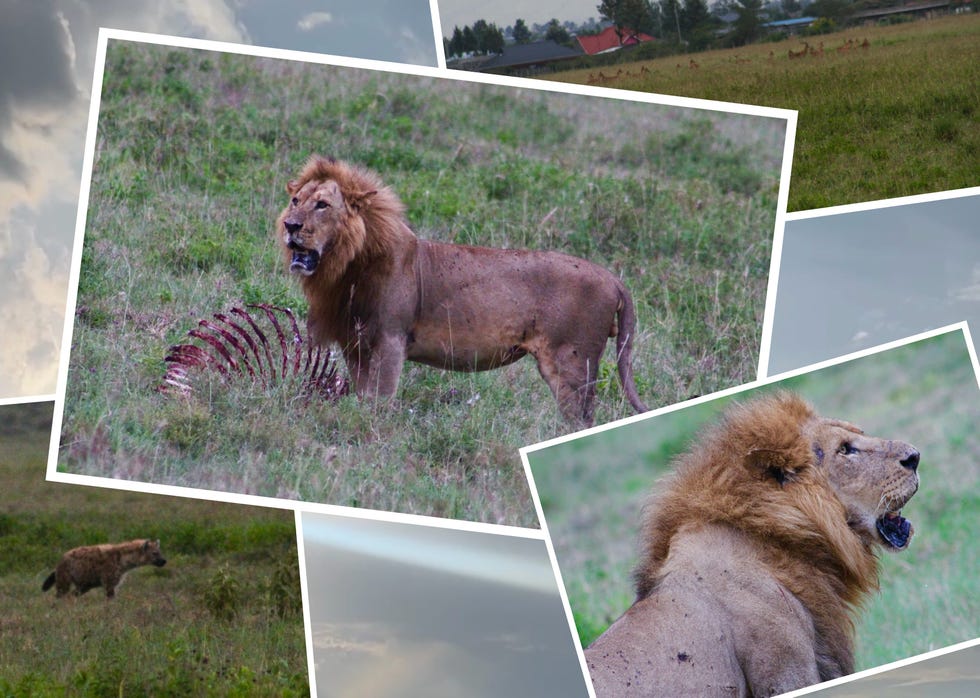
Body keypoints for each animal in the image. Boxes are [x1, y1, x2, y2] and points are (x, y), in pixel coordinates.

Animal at [275, 155, 647, 426]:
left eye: (322, 205)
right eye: (295, 200)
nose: (290, 226)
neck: (346, 266)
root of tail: (612, 278)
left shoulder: (390, 341)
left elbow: (379, 403)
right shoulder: (356, 344)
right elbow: (364, 398)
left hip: (572, 365)